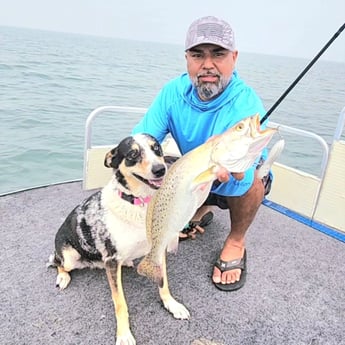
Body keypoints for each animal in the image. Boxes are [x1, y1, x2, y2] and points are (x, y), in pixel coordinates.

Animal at [47, 134, 188, 344]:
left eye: (157, 148)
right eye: (132, 154)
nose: (160, 169)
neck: (139, 203)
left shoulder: (158, 249)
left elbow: (164, 283)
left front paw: (172, 304)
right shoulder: (112, 260)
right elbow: (120, 303)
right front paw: (124, 334)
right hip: (70, 257)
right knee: (57, 262)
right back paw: (63, 276)